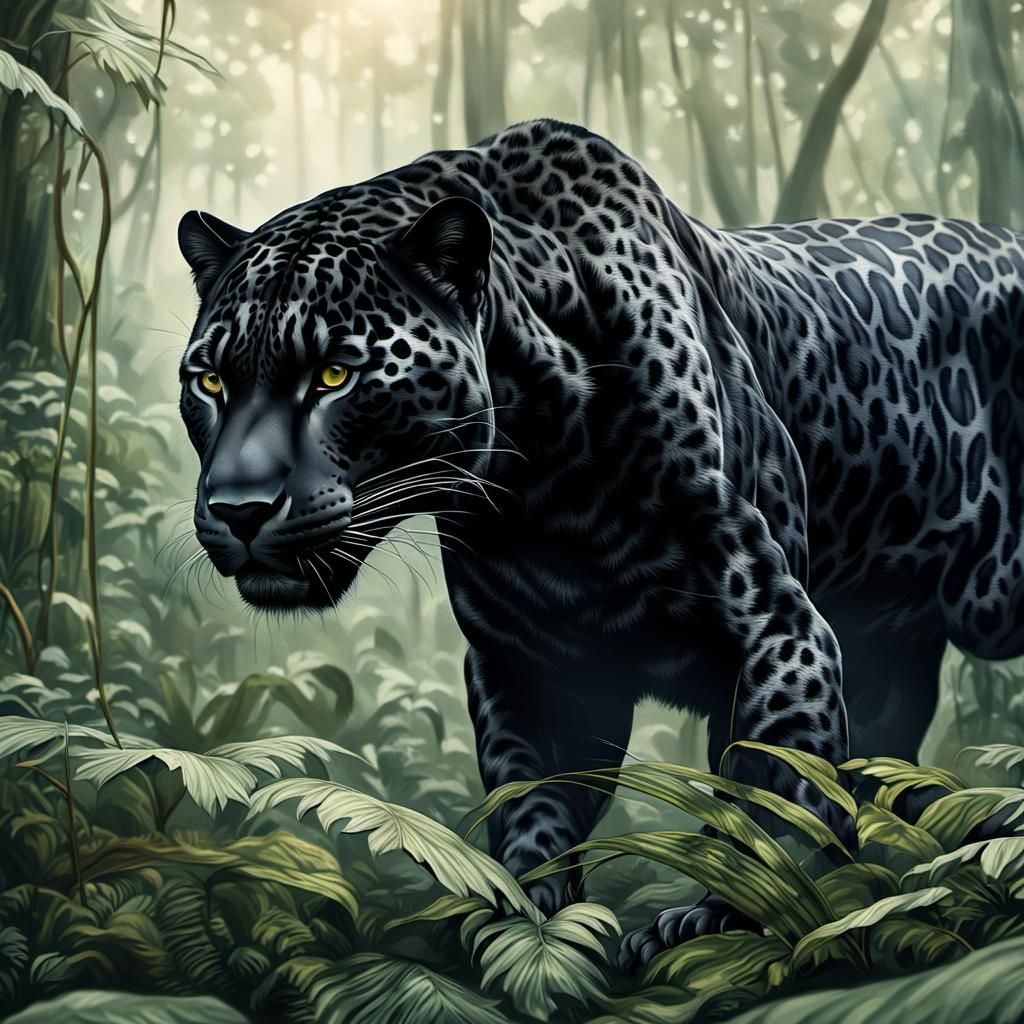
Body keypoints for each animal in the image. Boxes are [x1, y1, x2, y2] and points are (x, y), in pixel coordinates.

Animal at [176, 118, 1024, 969]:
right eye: (209, 381)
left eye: (334, 375)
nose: (239, 509)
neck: (541, 490)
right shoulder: (533, 665)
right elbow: (532, 803)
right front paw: (531, 924)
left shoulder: (781, 629)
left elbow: (766, 783)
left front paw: (724, 916)